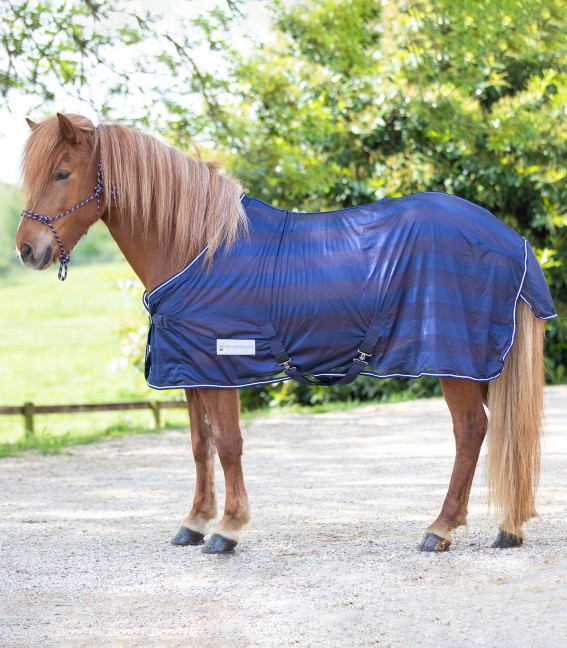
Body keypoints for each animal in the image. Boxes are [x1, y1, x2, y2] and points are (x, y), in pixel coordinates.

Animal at [15, 113, 556, 555]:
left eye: (62, 173)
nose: (26, 249)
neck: (197, 249)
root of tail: (510, 240)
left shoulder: (221, 368)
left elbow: (228, 443)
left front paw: (228, 529)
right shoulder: (190, 369)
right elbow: (199, 445)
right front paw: (194, 522)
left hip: (456, 362)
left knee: (471, 431)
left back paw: (440, 528)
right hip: (481, 363)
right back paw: (506, 527)